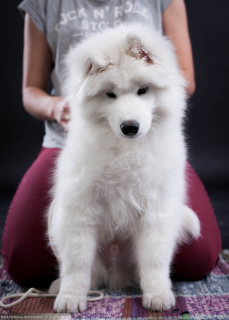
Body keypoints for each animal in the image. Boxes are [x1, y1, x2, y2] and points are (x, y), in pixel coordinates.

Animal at [47, 23, 199, 314]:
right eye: (110, 94)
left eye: (143, 90)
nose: (130, 127)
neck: (127, 149)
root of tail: (115, 276)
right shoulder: (79, 208)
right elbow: (76, 262)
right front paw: (71, 297)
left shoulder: (157, 210)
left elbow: (154, 259)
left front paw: (158, 295)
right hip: (56, 220)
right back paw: (57, 286)